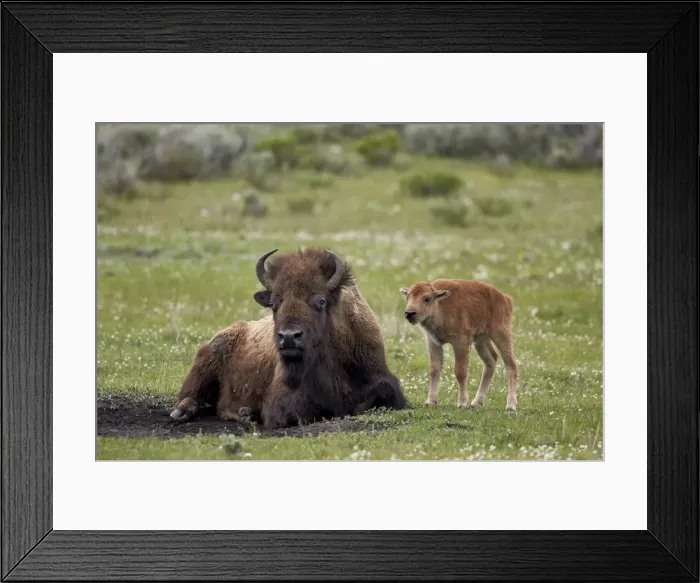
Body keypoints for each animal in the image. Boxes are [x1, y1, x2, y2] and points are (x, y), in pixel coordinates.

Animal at [170, 247, 408, 430]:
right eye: (274, 303)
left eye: (320, 301)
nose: (289, 337)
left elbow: (383, 390)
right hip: (204, 364)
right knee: (191, 396)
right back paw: (185, 413)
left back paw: (246, 413)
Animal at [400, 279, 518, 413]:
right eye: (408, 296)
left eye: (427, 298)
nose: (409, 313)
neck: (440, 306)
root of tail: (505, 298)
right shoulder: (433, 342)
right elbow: (434, 370)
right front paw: (430, 401)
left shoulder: (460, 343)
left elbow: (460, 372)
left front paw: (462, 403)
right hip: (480, 341)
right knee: (491, 361)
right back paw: (476, 402)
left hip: (500, 335)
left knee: (511, 364)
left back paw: (511, 406)